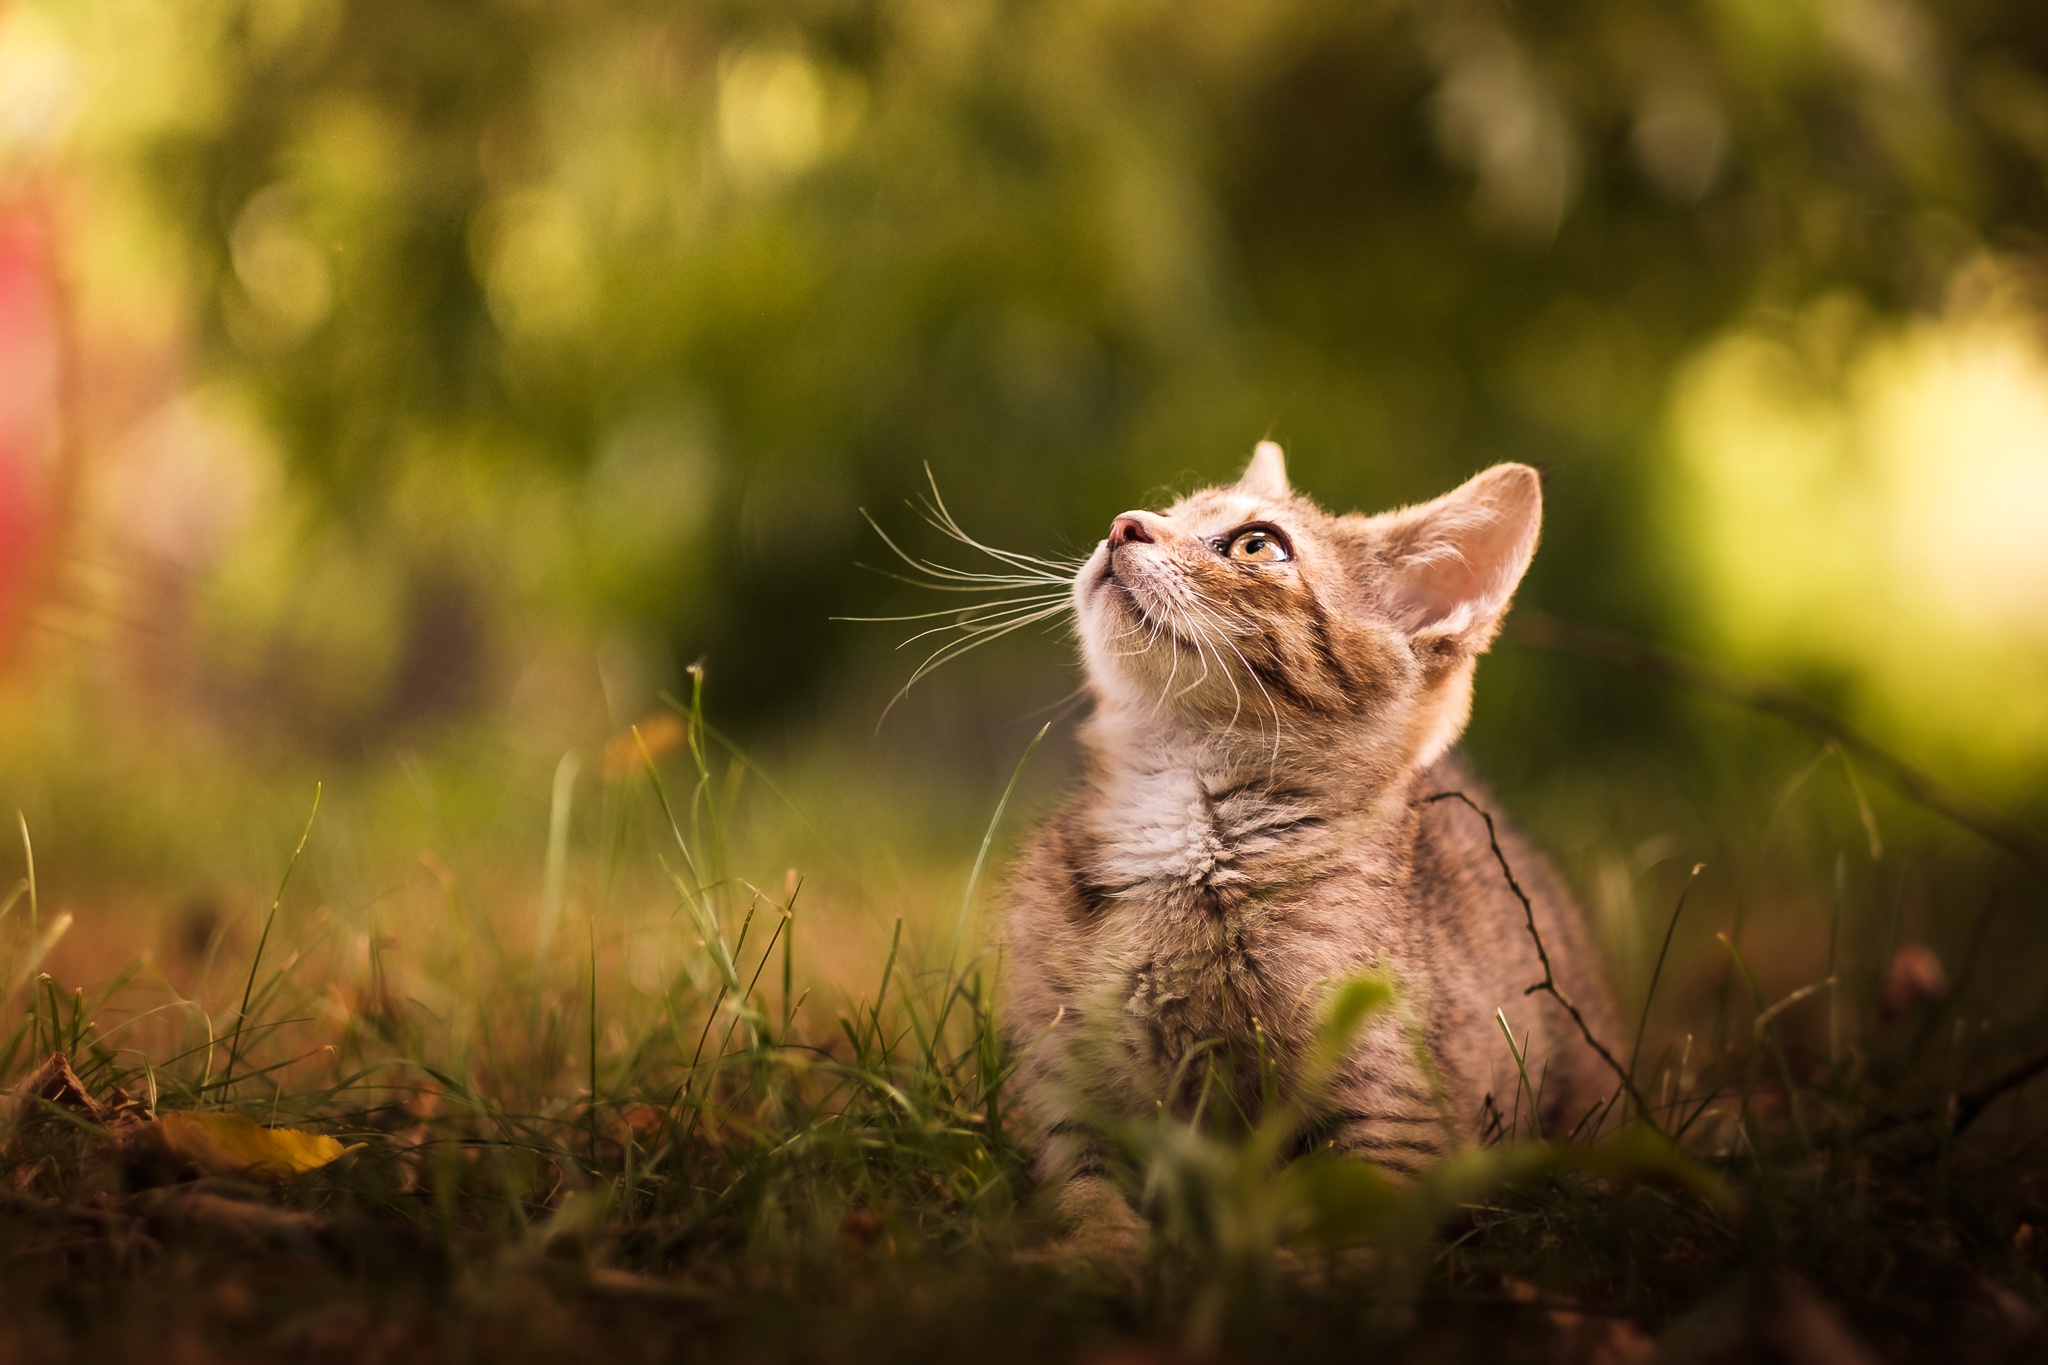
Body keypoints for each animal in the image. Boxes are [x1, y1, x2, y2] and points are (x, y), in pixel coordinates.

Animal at [1003, 446, 1613, 1236]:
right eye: (1168, 510)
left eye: (1257, 545)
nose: (1123, 524)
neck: (1181, 824)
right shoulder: (1065, 1095)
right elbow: (1083, 1196)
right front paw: (1093, 1251)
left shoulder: (1402, 1122)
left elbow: (1340, 1233)